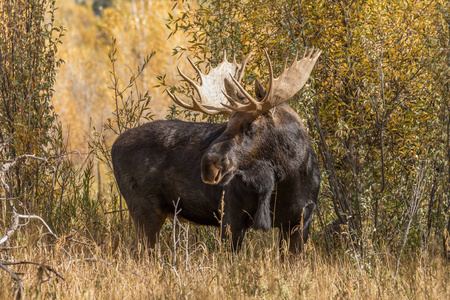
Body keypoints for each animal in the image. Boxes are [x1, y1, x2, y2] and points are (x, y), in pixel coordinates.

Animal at [113, 48, 324, 252]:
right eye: (227, 124)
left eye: (250, 125)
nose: (209, 165)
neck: (288, 179)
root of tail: (113, 146)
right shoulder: (231, 214)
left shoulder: (301, 219)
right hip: (144, 207)